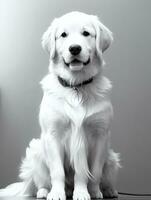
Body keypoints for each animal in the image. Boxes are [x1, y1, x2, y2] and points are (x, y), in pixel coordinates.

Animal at [0, 11, 120, 200]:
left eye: (86, 33)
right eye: (63, 35)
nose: (74, 48)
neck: (76, 86)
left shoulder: (100, 135)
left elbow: (93, 171)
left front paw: (89, 192)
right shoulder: (53, 134)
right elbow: (57, 171)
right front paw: (56, 193)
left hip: (112, 157)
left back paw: (108, 190)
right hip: (36, 150)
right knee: (41, 182)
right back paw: (44, 192)